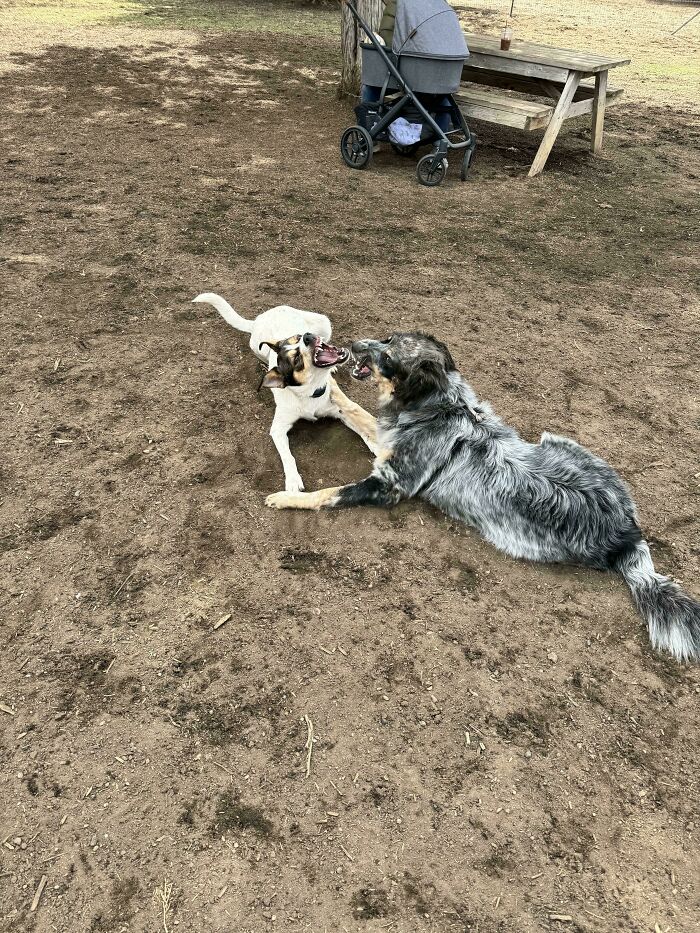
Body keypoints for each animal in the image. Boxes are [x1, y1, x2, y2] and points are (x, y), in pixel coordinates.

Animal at [193, 294, 378, 492]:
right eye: (296, 359)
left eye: (298, 338)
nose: (307, 336)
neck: (309, 393)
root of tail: (260, 318)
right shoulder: (278, 429)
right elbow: (288, 456)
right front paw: (292, 480)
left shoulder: (339, 410)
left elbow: (361, 427)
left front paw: (376, 443)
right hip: (257, 348)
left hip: (323, 322)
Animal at [266, 332, 700, 660]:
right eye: (386, 337)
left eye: (387, 355)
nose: (354, 343)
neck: (440, 406)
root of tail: (629, 534)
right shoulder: (386, 442)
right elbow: (358, 414)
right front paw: (332, 392)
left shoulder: (389, 484)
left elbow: (325, 493)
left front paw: (284, 497)